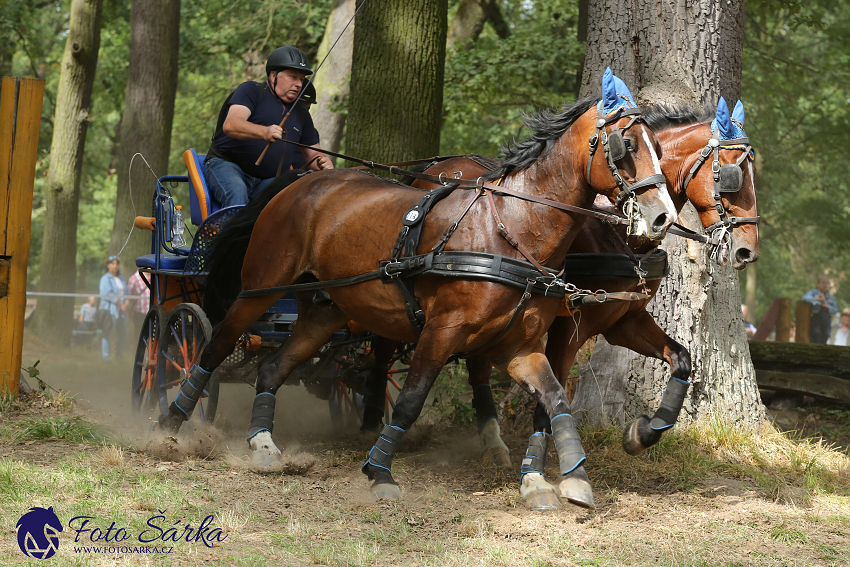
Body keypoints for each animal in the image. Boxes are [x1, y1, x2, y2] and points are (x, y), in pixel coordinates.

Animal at [159, 69, 672, 508]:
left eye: (659, 149)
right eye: (626, 144)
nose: (662, 216)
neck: (509, 228)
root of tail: (299, 182)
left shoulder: (520, 345)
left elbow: (556, 399)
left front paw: (568, 479)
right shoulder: (442, 331)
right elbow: (409, 401)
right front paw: (379, 472)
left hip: (324, 311)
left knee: (271, 367)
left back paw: (263, 444)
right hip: (260, 289)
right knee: (213, 347)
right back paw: (170, 424)